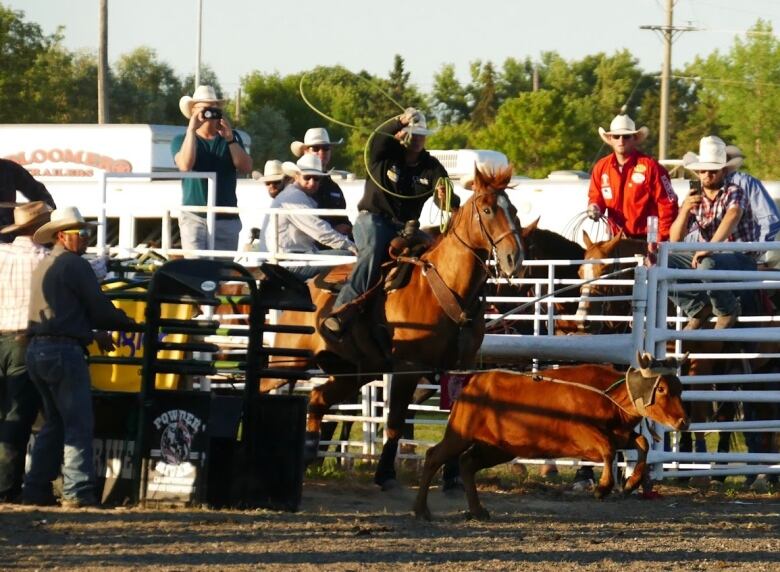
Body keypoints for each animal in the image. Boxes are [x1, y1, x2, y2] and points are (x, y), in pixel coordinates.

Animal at [266, 163, 528, 490]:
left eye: (514, 209)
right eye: (488, 209)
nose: (514, 258)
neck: (446, 287)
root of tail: (305, 285)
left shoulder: (461, 367)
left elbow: (455, 420)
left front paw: (452, 476)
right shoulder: (408, 368)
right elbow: (395, 424)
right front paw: (385, 474)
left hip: (354, 371)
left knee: (317, 400)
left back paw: (308, 455)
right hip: (287, 362)